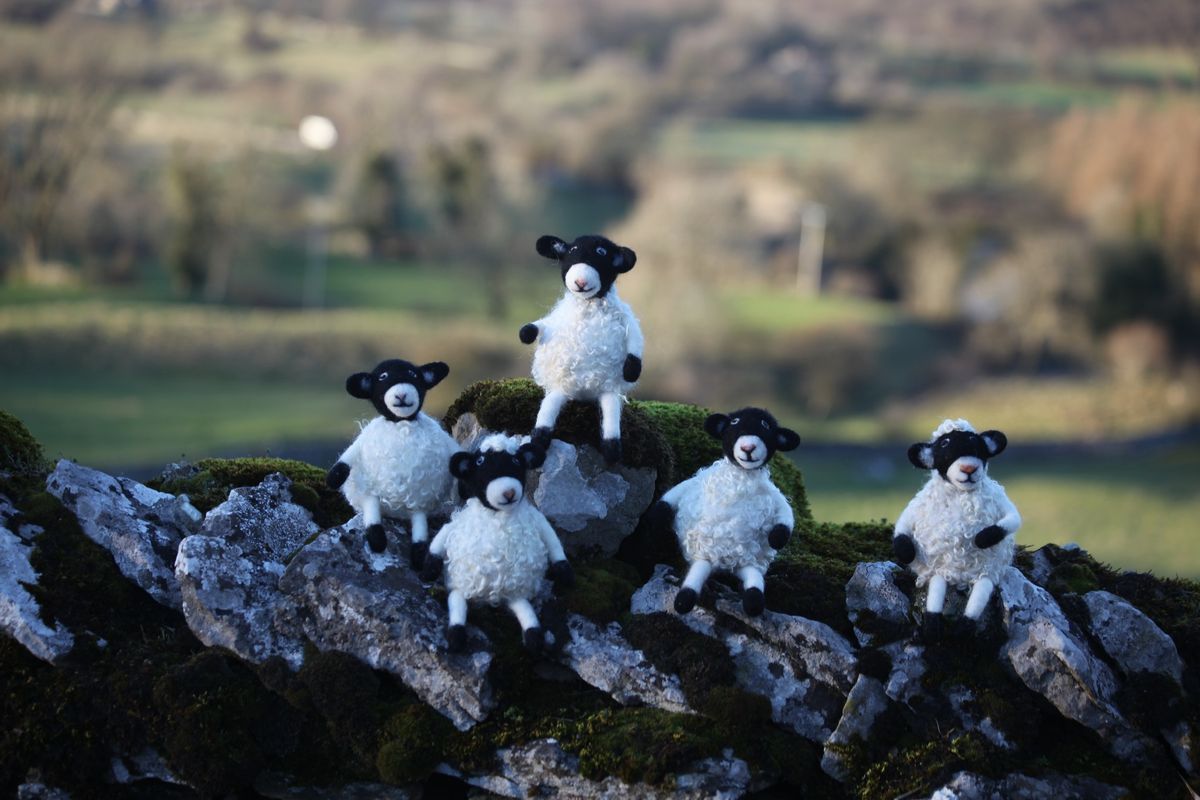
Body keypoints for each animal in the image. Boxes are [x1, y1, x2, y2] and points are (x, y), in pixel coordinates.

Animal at [326, 359, 460, 566]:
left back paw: (419, 555)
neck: (401, 423)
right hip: (371, 495)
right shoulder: (365, 439)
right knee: (372, 513)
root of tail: (396, 512)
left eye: (413, 375)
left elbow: (456, 452)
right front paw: (333, 478)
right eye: (383, 377)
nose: (402, 394)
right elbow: (346, 460)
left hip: (418, 507)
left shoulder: (443, 439)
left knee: (419, 527)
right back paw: (377, 541)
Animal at [420, 438, 573, 657]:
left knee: (523, 609)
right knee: (457, 601)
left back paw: (534, 637)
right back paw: (456, 636)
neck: (500, 516)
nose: (509, 492)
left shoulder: (538, 520)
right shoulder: (458, 523)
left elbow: (553, 542)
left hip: (515, 592)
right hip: (462, 584)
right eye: (480, 462)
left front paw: (564, 571)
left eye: (516, 461)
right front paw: (428, 570)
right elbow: (442, 537)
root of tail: (492, 598)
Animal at [518, 232, 643, 462]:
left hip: (607, 390)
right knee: (547, 413)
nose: (580, 281)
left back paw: (612, 451)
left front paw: (632, 369)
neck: (588, 303)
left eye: (601, 252)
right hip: (560, 390)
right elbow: (542, 325)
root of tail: (584, 394)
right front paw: (526, 333)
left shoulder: (626, 318)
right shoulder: (556, 321)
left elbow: (636, 341)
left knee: (610, 416)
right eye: (572, 250)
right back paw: (534, 448)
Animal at [643, 407, 801, 618]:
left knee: (753, 579)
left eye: (766, 425)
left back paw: (753, 603)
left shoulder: (774, 496)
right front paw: (655, 518)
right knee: (696, 574)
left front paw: (777, 539)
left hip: (749, 562)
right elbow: (671, 498)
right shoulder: (696, 482)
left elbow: (785, 516)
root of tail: (727, 565)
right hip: (704, 555)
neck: (742, 475)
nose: (748, 447)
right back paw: (683, 601)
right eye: (734, 422)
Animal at [892, 419, 1022, 633]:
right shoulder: (919, 506)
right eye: (944, 444)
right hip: (941, 569)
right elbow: (903, 524)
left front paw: (983, 538)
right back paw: (932, 625)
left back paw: (965, 626)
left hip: (987, 571)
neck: (960, 493)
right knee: (937, 585)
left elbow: (1012, 519)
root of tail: (961, 578)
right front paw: (906, 552)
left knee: (980, 590)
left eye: (974, 441)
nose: (968, 468)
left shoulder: (999, 500)